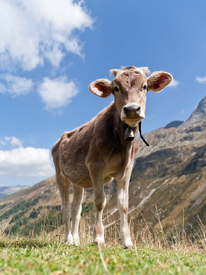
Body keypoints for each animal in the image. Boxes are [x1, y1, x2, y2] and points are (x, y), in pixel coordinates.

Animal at [52, 66, 172, 249]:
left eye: (144, 86)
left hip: (78, 181)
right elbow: (100, 201)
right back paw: (67, 239)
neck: (123, 143)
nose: (131, 109)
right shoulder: (95, 166)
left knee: (76, 210)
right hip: (61, 176)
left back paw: (76, 240)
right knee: (65, 208)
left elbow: (124, 204)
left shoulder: (127, 169)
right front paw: (98, 237)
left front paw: (127, 240)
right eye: (116, 88)